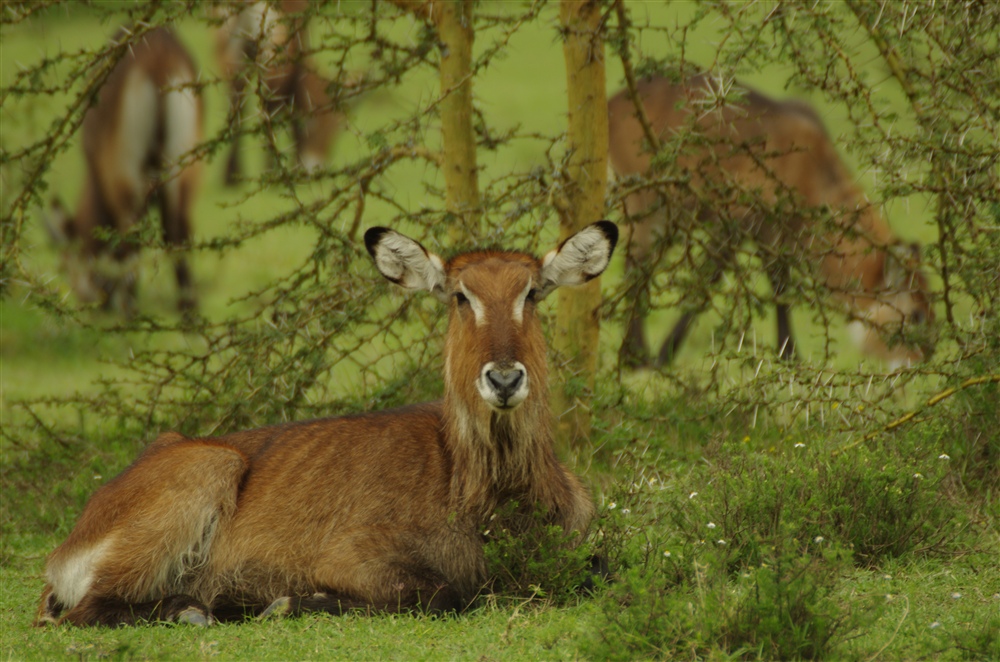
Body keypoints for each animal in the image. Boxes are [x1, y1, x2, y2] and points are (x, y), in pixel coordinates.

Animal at [35, 219, 616, 628]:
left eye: (531, 293)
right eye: (459, 295)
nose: (504, 378)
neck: (488, 496)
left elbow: (602, 571)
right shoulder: (351, 557)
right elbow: (443, 593)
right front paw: (288, 603)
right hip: (209, 465)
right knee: (86, 611)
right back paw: (198, 609)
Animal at [46, 26, 203, 316]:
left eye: (68, 263)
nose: (91, 304)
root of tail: (159, 56)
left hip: (127, 180)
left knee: (133, 242)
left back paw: (131, 316)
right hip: (184, 174)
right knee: (178, 233)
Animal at [608, 75, 936, 370]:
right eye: (916, 315)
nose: (924, 362)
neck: (811, 168)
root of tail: (616, 98)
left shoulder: (776, 234)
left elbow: (780, 285)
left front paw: (789, 358)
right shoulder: (738, 223)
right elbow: (708, 282)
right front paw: (664, 357)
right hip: (646, 205)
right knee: (633, 267)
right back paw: (633, 358)